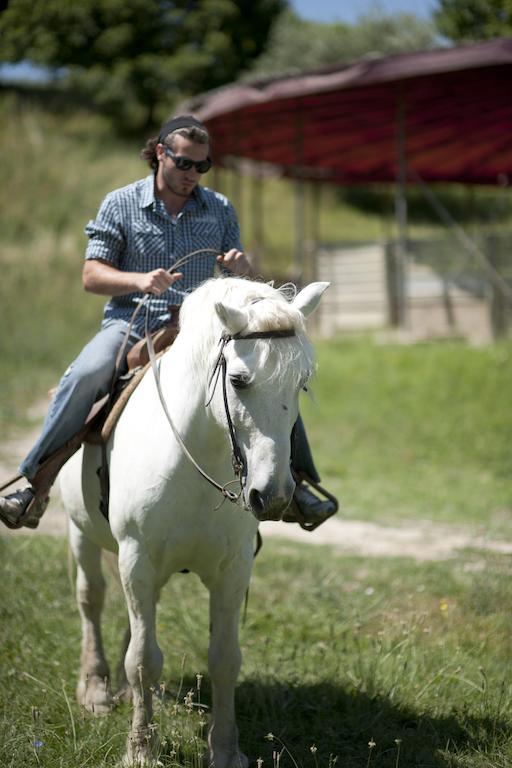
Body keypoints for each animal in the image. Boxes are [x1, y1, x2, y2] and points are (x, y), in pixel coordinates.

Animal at [59, 278, 328, 768]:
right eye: (238, 380)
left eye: (302, 384)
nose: (273, 496)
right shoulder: (137, 557)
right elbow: (143, 660)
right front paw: (141, 749)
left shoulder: (233, 568)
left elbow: (224, 659)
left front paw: (226, 750)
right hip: (81, 534)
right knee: (91, 599)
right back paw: (96, 690)